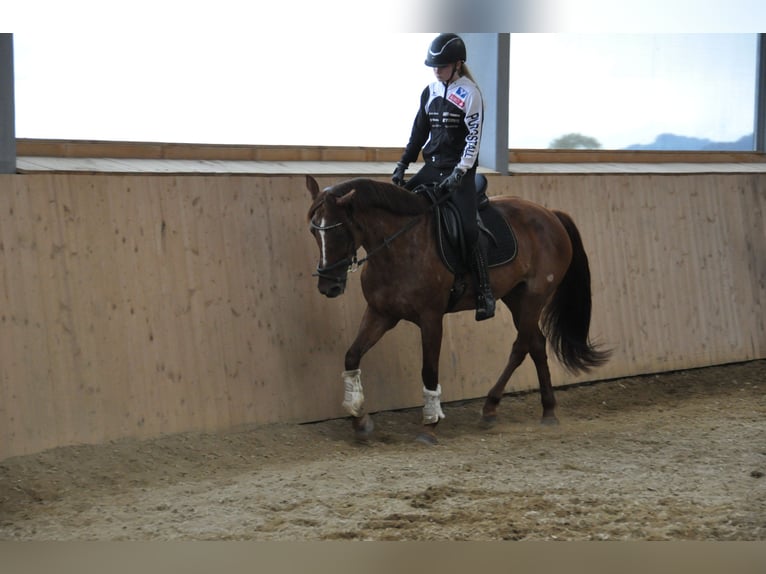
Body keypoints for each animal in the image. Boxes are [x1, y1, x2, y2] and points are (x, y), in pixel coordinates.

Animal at [306, 175, 610, 444]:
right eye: (313, 230)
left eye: (340, 228)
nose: (328, 286)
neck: (400, 246)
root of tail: (550, 214)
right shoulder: (381, 314)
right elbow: (352, 356)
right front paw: (359, 419)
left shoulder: (431, 318)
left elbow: (429, 370)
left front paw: (429, 426)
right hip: (516, 297)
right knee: (535, 343)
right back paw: (544, 411)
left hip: (534, 297)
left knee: (522, 345)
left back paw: (494, 406)